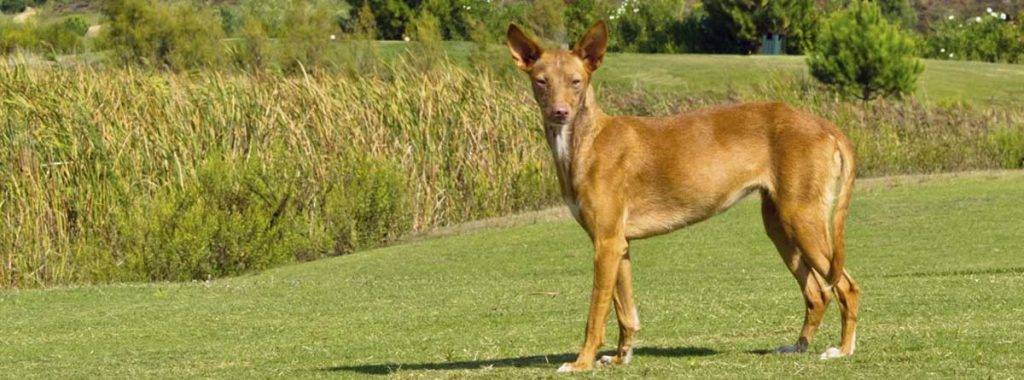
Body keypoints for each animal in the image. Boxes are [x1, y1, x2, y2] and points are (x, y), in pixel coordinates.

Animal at [507, 20, 860, 372]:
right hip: (779, 226)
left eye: (576, 82)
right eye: (541, 81)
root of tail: (825, 125)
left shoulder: (605, 243)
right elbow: (626, 313)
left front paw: (581, 363)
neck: (588, 142)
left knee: (846, 286)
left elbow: (596, 312)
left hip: (802, 220)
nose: (560, 113)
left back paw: (843, 349)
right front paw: (621, 357)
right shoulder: (618, 245)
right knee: (817, 293)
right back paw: (798, 347)